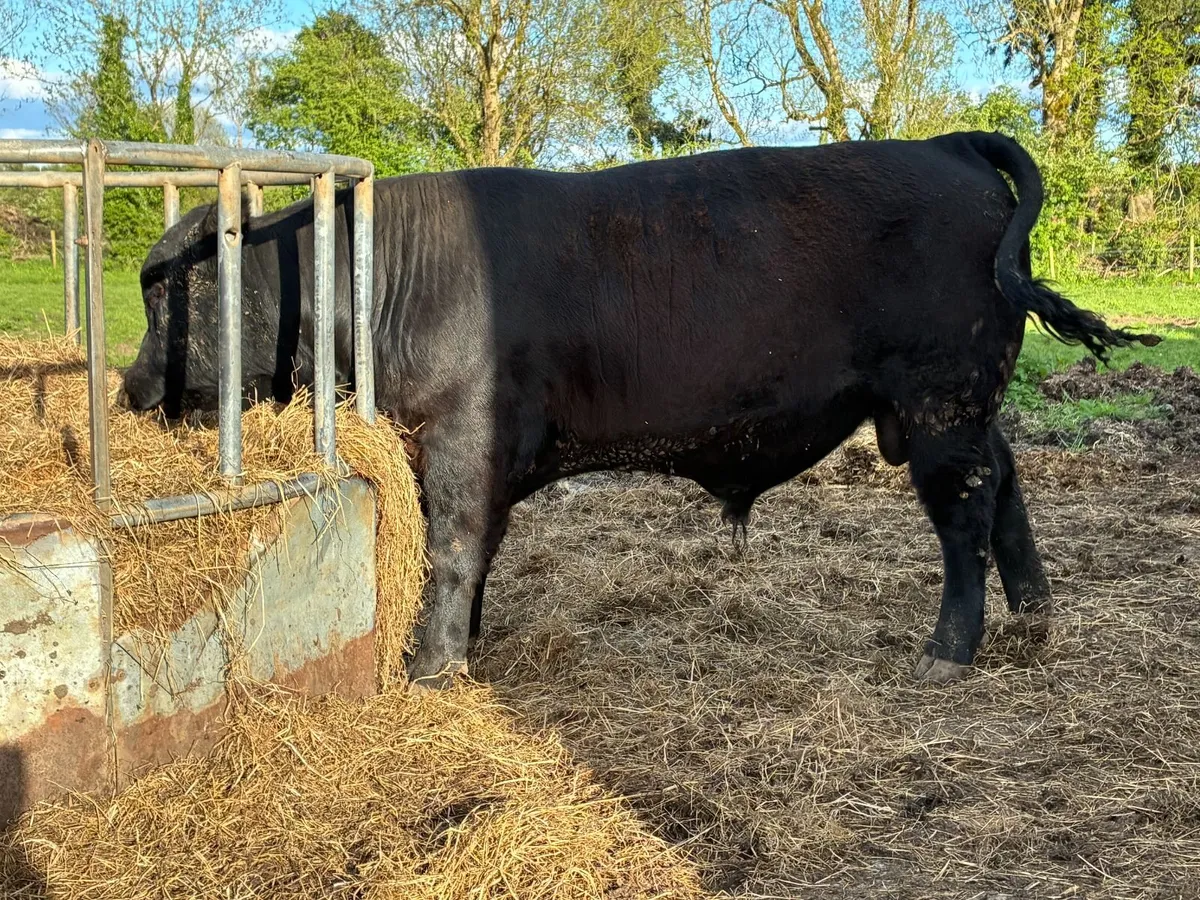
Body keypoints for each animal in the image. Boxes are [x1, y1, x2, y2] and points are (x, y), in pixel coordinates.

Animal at [121, 132, 1158, 689]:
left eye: (166, 288)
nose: (130, 391)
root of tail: (944, 146)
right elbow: (474, 554)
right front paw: (470, 646)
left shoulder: (463, 435)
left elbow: (451, 548)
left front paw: (433, 668)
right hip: (966, 402)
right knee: (1006, 486)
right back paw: (1034, 618)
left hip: (942, 398)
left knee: (965, 513)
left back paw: (949, 651)